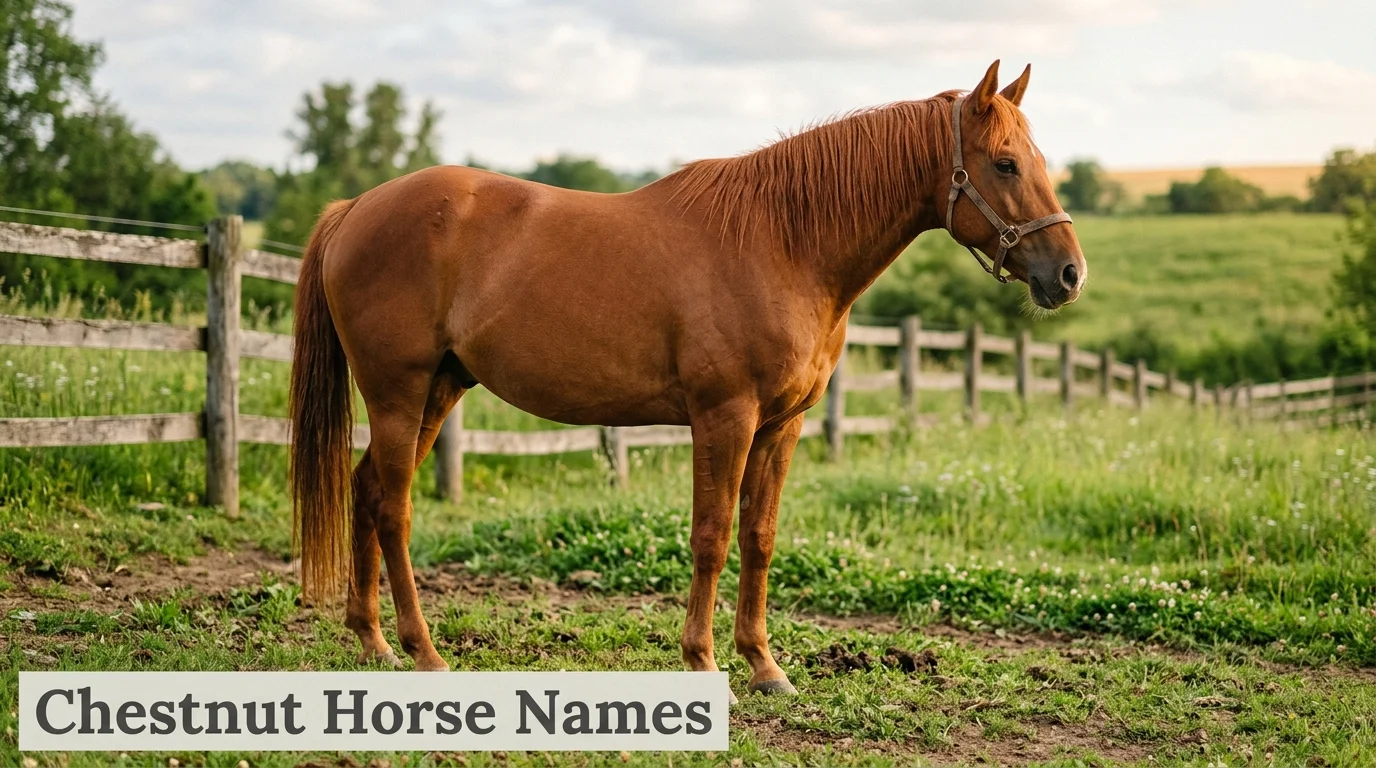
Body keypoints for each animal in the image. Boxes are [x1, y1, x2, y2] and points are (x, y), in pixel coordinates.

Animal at [288, 60, 1086, 698]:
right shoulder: (723, 416)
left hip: (439, 389)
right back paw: (424, 652)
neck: (785, 240)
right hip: (399, 391)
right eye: (1005, 164)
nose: (1069, 274)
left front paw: (764, 665)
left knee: (367, 491)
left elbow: (759, 536)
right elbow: (711, 535)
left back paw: (373, 640)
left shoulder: (781, 425)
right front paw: (704, 663)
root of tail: (356, 207)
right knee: (394, 508)